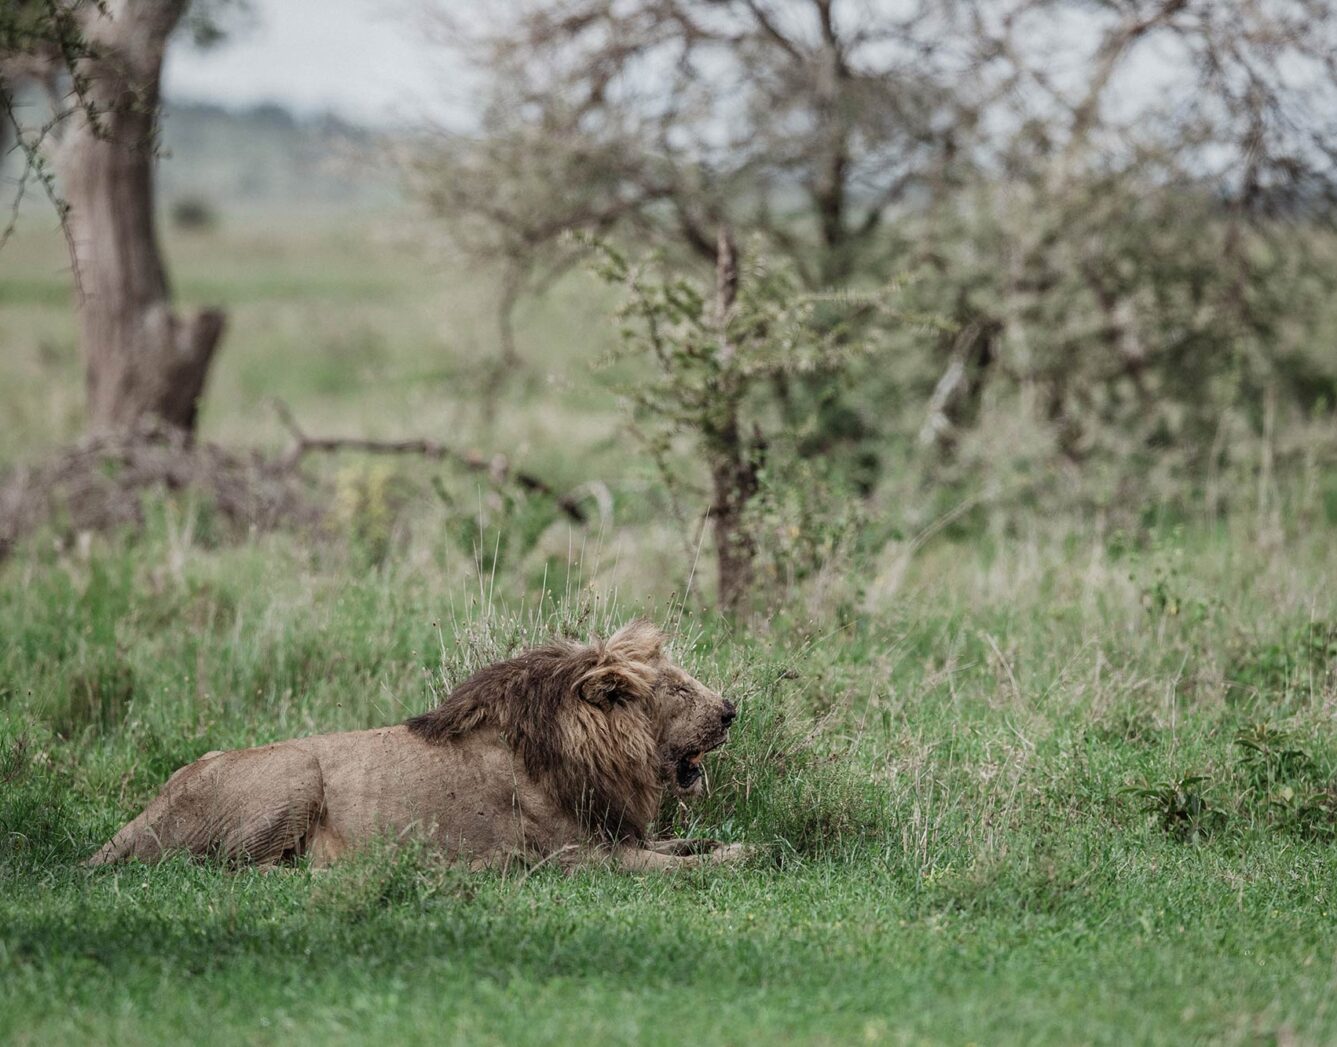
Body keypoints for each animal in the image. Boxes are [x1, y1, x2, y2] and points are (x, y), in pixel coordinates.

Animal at [88, 617, 748, 871]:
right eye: (676, 688)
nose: (731, 711)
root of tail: (147, 811)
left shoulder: (620, 835)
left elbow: (689, 845)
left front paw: (726, 844)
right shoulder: (580, 857)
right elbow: (683, 869)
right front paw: (744, 856)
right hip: (296, 771)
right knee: (235, 866)